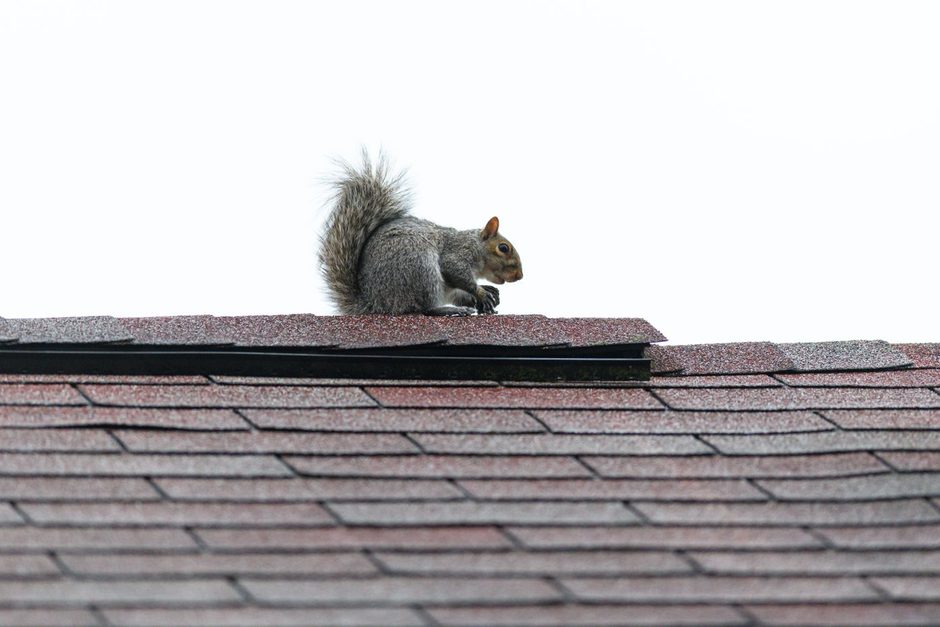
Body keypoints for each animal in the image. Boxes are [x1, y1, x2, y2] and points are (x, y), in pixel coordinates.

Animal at [318, 154, 523, 316]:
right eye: (503, 248)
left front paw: (486, 295)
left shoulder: (451, 288)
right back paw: (447, 310)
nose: (519, 276)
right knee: (424, 308)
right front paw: (481, 292)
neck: (476, 245)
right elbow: (454, 269)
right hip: (421, 267)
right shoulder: (458, 252)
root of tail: (376, 304)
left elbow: (458, 292)